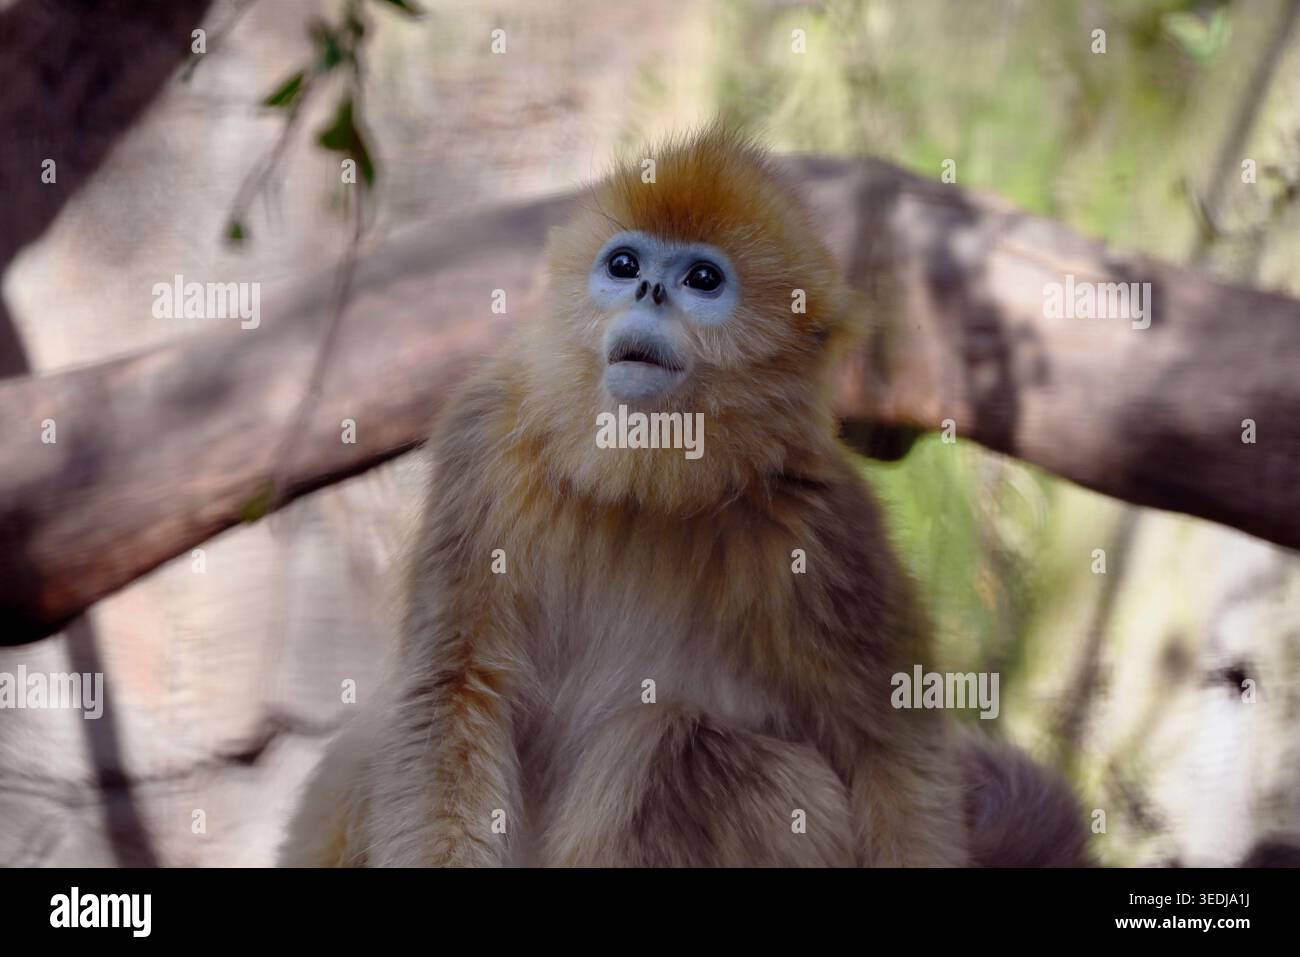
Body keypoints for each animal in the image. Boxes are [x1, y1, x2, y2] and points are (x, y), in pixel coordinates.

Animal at [280, 127, 1085, 867]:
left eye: (702, 278)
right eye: (624, 265)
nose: (650, 291)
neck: (646, 488)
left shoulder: (826, 522)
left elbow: (890, 751)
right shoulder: (487, 440)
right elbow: (450, 693)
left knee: (675, 741)